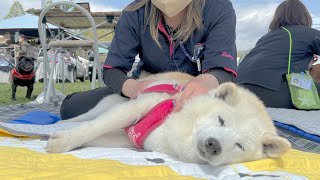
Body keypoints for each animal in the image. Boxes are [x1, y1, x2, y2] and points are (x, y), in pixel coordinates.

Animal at [47, 71, 290, 166]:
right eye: (221, 120)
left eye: (239, 145)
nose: (214, 145)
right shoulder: (142, 105)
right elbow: (94, 127)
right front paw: (63, 141)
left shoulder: (124, 140)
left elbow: (97, 136)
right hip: (110, 103)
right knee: (88, 116)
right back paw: (60, 122)